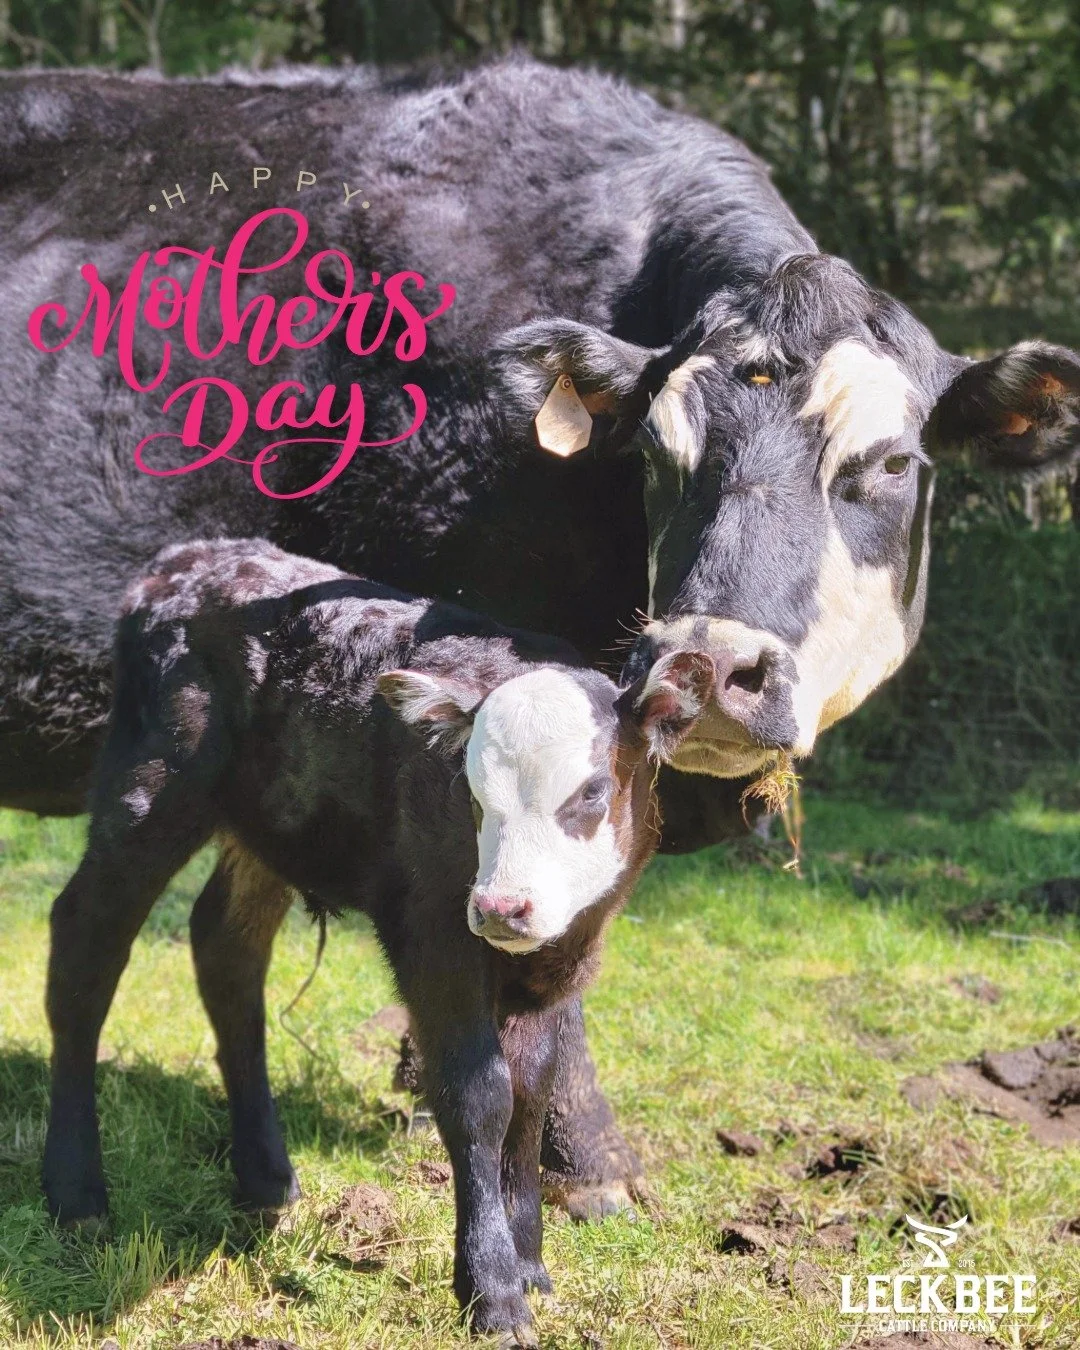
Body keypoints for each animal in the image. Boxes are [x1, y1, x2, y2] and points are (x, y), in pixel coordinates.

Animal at [44, 537, 713, 1338]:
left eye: (591, 791)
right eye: (471, 794)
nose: (502, 907)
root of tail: (190, 557)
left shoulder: (567, 950)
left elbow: (533, 1092)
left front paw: (530, 1267)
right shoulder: (430, 928)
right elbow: (479, 1094)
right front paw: (492, 1291)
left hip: (271, 825)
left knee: (226, 946)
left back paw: (265, 1175)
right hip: (151, 783)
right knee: (86, 941)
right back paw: (77, 1190)